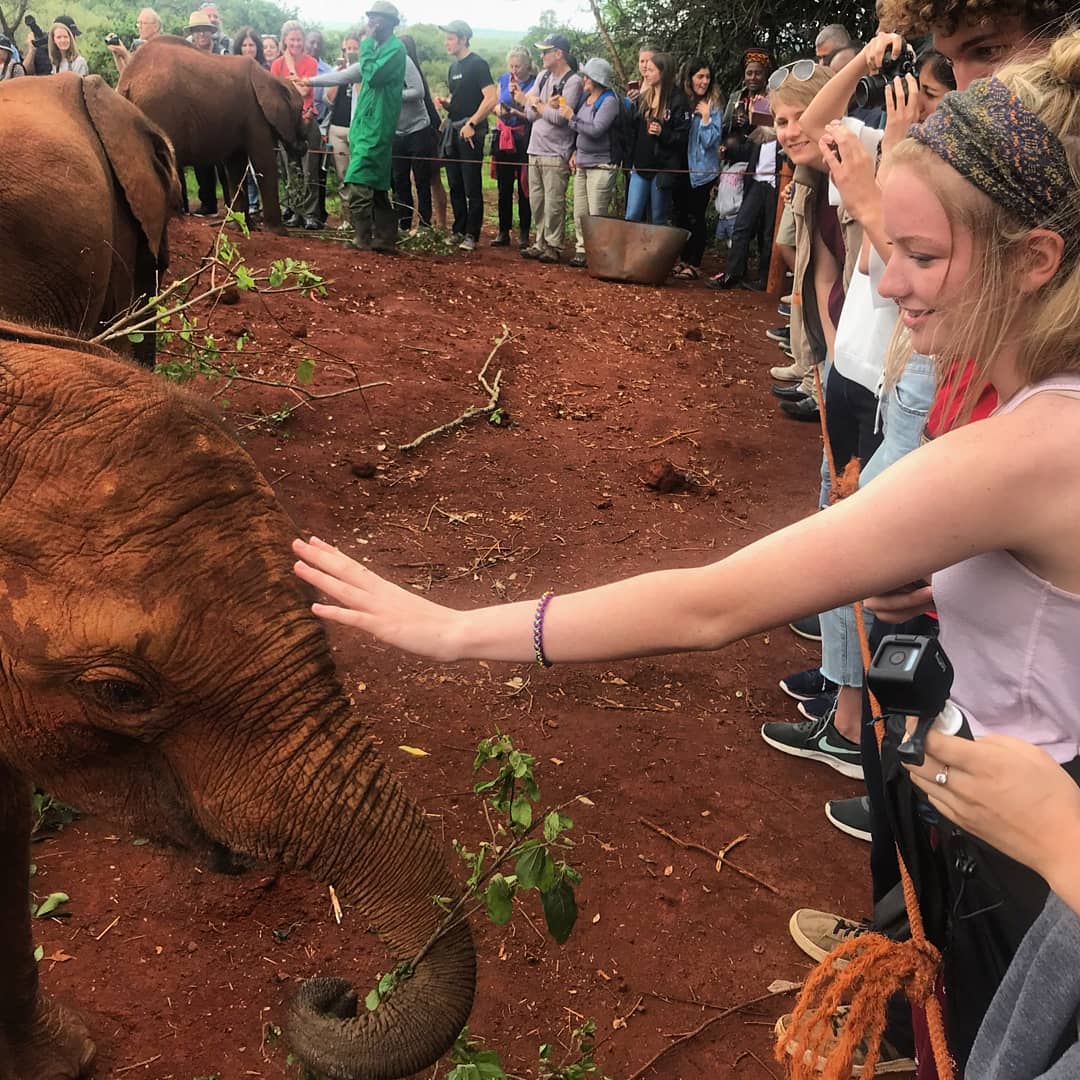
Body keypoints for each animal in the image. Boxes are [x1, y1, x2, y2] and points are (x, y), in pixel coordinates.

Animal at [118, 36, 307, 234]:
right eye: (301, 110)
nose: (304, 144)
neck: (271, 78)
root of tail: (126, 80)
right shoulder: (256, 116)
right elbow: (263, 163)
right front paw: (278, 232)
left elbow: (236, 166)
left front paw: (242, 227)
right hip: (158, 109)